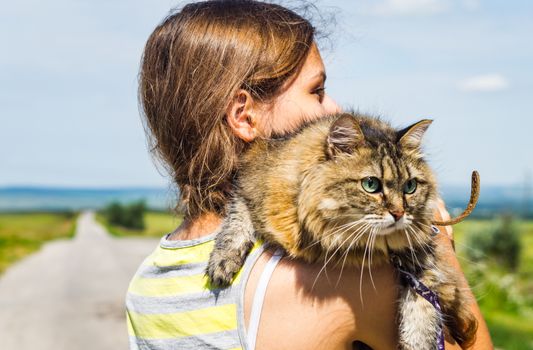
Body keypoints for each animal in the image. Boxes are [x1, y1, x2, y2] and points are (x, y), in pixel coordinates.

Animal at [206, 113, 476, 350]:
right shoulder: (249, 180)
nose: (399, 213)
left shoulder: (421, 256)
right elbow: (238, 219)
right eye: (371, 184)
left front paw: (420, 340)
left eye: (410, 187)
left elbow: (424, 308)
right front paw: (223, 262)